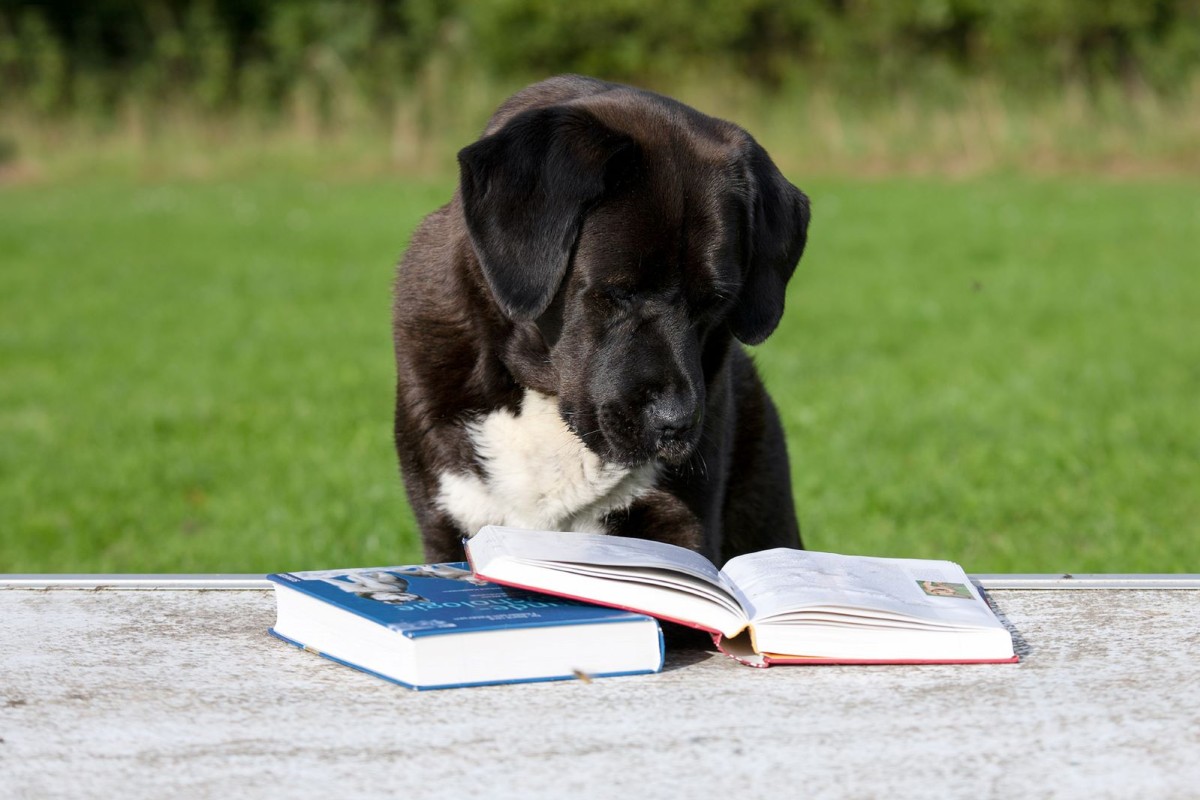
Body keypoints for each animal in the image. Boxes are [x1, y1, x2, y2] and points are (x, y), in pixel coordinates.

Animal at [388, 73, 811, 563]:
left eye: (715, 303)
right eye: (618, 292)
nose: (676, 423)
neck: (542, 398)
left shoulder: (676, 523)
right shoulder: (448, 524)